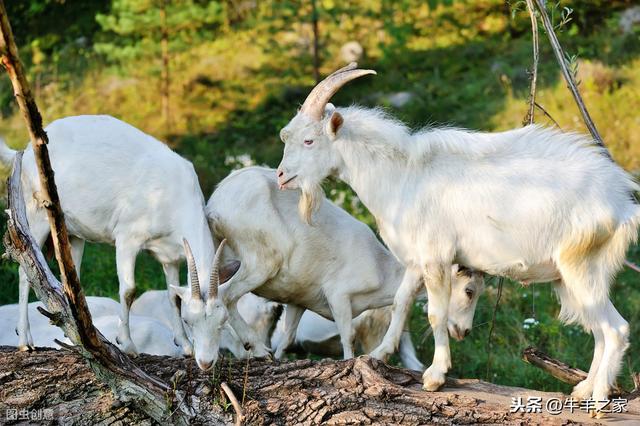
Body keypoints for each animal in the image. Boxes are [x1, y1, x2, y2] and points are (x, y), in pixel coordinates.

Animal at [0, 115, 239, 372]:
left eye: (223, 320)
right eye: (189, 320)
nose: (206, 362)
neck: (171, 195)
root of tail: (24, 151)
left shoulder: (170, 255)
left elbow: (172, 296)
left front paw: (185, 346)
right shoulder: (127, 236)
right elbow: (129, 290)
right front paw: (127, 344)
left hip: (72, 232)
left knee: (72, 278)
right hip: (36, 213)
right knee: (26, 269)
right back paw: (25, 341)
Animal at [205, 166, 480, 360]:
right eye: (469, 290)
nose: (465, 331)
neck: (382, 271)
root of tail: (216, 204)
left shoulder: (298, 300)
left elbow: (287, 337)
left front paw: (281, 360)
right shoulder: (338, 294)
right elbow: (347, 337)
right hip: (259, 261)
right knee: (226, 296)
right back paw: (257, 349)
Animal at [276, 63, 640, 412]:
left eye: (309, 141)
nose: (281, 176)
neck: (401, 177)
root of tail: (621, 203)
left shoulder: (436, 256)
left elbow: (434, 313)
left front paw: (435, 376)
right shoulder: (415, 260)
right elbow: (400, 303)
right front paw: (378, 354)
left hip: (582, 266)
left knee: (615, 329)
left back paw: (599, 399)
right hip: (570, 277)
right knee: (598, 330)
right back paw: (583, 391)